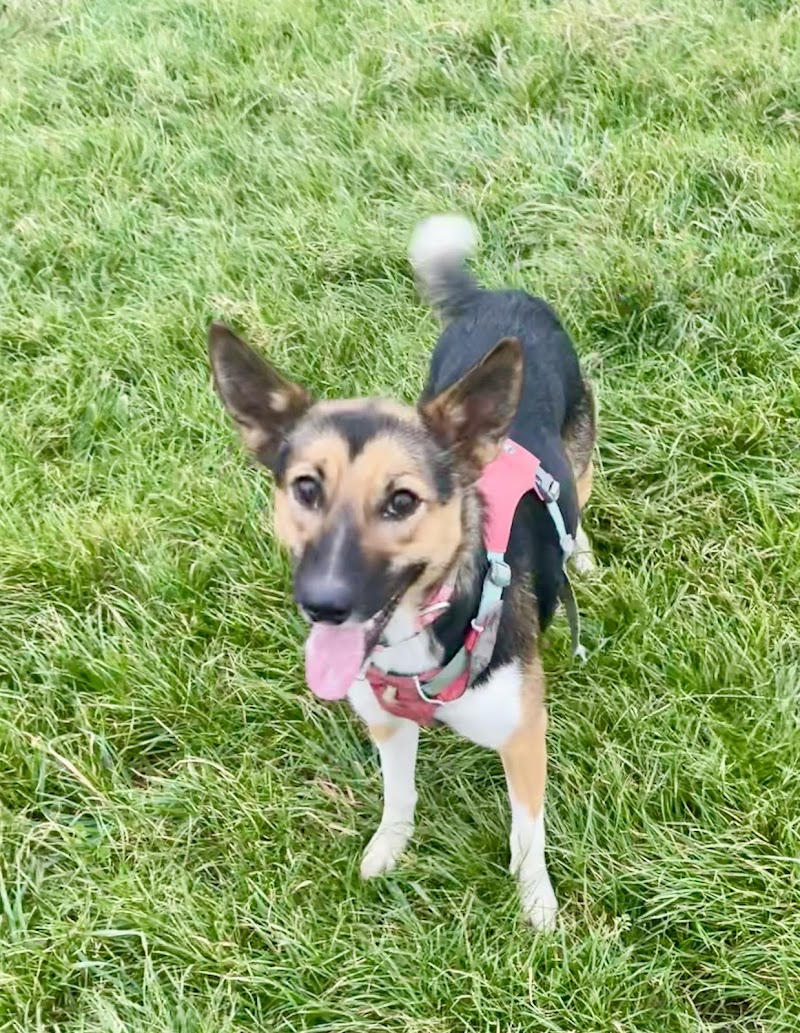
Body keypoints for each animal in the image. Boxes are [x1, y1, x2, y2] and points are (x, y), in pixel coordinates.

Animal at [208, 215, 596, 928]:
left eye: (401, 502)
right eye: (306, 489)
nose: (323, 604)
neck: (428, 622)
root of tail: (497, 296)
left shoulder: (523, 735)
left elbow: (527, 835)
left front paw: (536, 904)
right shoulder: (386, 722)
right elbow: (399, 797)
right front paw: (389, 850)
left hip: (580, 453)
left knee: (580, 497)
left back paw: (579, 552)